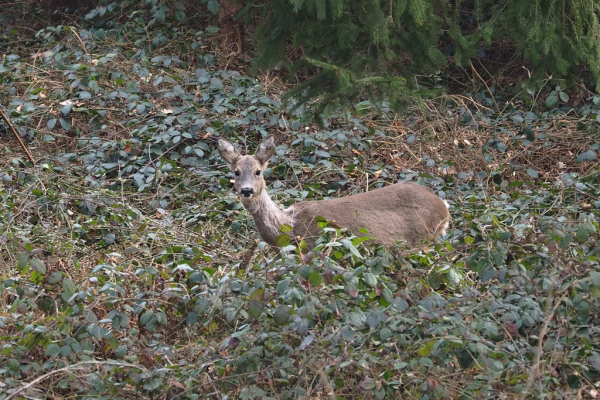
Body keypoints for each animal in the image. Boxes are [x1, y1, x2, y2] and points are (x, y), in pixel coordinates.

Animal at [218, 135, 448, 247]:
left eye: (258, 171)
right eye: (236, 172)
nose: (247, 190)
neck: (291, 225)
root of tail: (444, 208)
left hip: (422, 238)